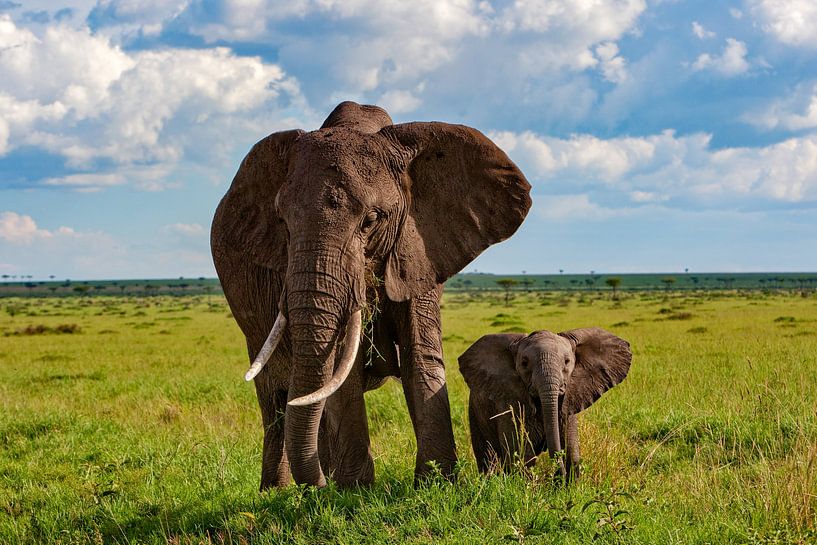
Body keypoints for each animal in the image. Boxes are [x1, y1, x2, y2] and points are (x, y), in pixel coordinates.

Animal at [211, 101, 532, 489]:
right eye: (282, 222)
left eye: (371, 220)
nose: (319, 484)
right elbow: (340, 369)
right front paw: (355, 490)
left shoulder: (419, 246)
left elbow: (420, 353)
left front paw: (436, 483)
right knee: (277, 397)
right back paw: (282, 490)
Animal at [458, 328, 631, 482]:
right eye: (524, 363)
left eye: (567, 362)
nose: (557, 475)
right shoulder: (509, 401)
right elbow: (521, 456)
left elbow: (572, 453)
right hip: (474, 411)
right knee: (487, 457)